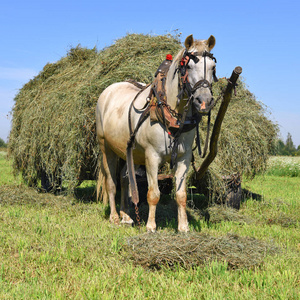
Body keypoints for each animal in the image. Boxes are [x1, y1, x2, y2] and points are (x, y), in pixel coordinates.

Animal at [97, 34, 217, 232]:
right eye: (189, 66)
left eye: (213, 67)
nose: (204, 101)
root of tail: (108, 90)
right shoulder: (152, 157)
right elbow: (153, 193)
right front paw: (151, 226)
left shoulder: (183, 158)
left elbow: (181, 194)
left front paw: (183, 227)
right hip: (105, 147)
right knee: (111, 182)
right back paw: (114, 217)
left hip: (127, 150)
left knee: (124, 179)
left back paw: (125, 216)